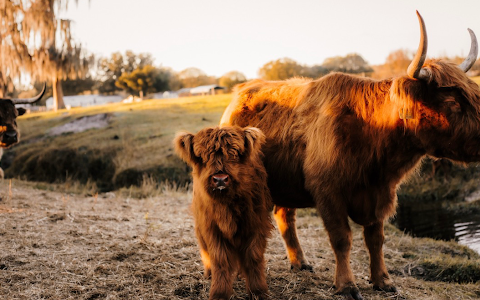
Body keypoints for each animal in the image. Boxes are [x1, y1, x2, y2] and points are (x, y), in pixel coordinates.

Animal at [175, 126, 274, 300]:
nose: (220, 179)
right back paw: (209, 274)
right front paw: (219, 293)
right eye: (202, 156)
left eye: (234, 153)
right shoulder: (213, 229)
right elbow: (220, 260)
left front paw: (258, 291)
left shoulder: (256, 224)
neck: (227, 205)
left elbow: (253, 257)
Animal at [219, 11, 478, 300]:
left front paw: (383, 280)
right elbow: (342, 239)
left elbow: (375, 239)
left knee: (285, 216)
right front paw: (347, 285)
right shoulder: (328, 192)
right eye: (453, 102)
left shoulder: (380, 194)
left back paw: (300, 262)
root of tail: (240, 92)